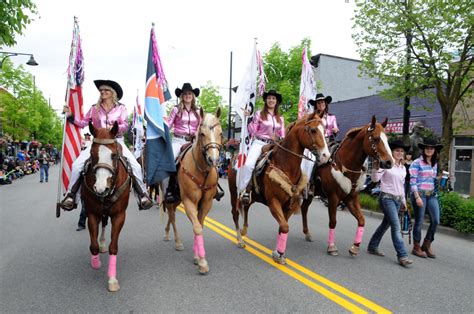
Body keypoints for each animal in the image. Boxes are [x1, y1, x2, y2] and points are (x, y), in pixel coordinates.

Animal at [80, 121, 131, 292]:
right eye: (91, 154)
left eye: (114, 155)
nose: (101, 188)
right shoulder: (92, 213)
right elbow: (93, 245)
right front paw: (95, 262)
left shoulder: (119, 215)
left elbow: (113, 247)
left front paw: (112, 279)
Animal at [228, 113, 328, 264]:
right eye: (313, 130)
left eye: (325, 129)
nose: (326, 156)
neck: (284, 165)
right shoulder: (273, 202)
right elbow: (285, 227)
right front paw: (278, 254)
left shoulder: (289, 205)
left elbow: (283, 227)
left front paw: (280, 254)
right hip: (234, 193)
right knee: (235, 213)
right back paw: (240, 240)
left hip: (251, 196)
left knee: (246, 207)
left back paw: (244, 231)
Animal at [300, 116, 396, 256]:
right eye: (376, 138)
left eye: (387, 139)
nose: (389, 162)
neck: (344, 165)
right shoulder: (333, 198)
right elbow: (333, 222)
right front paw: (332, 247)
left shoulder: (351, 198)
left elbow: (361, 220)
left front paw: (355, 247)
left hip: (311, 194)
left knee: (304, 208)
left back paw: (307, 234)